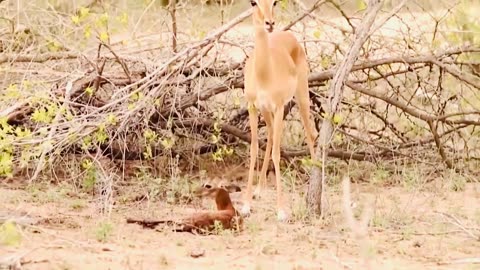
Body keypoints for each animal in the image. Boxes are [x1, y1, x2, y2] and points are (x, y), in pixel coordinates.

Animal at [242, 0, 316, 220]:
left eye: (274, 2)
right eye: (253, 2)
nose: (270, 23)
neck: (264, 74)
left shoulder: (280, 106)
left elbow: (276, 152)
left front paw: (281, 210)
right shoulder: (253, 107)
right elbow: (254, 148)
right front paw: (246, 205)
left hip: (301, 97)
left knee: (311, 134)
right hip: (267, 112)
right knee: (271, 136)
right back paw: (259, 190)